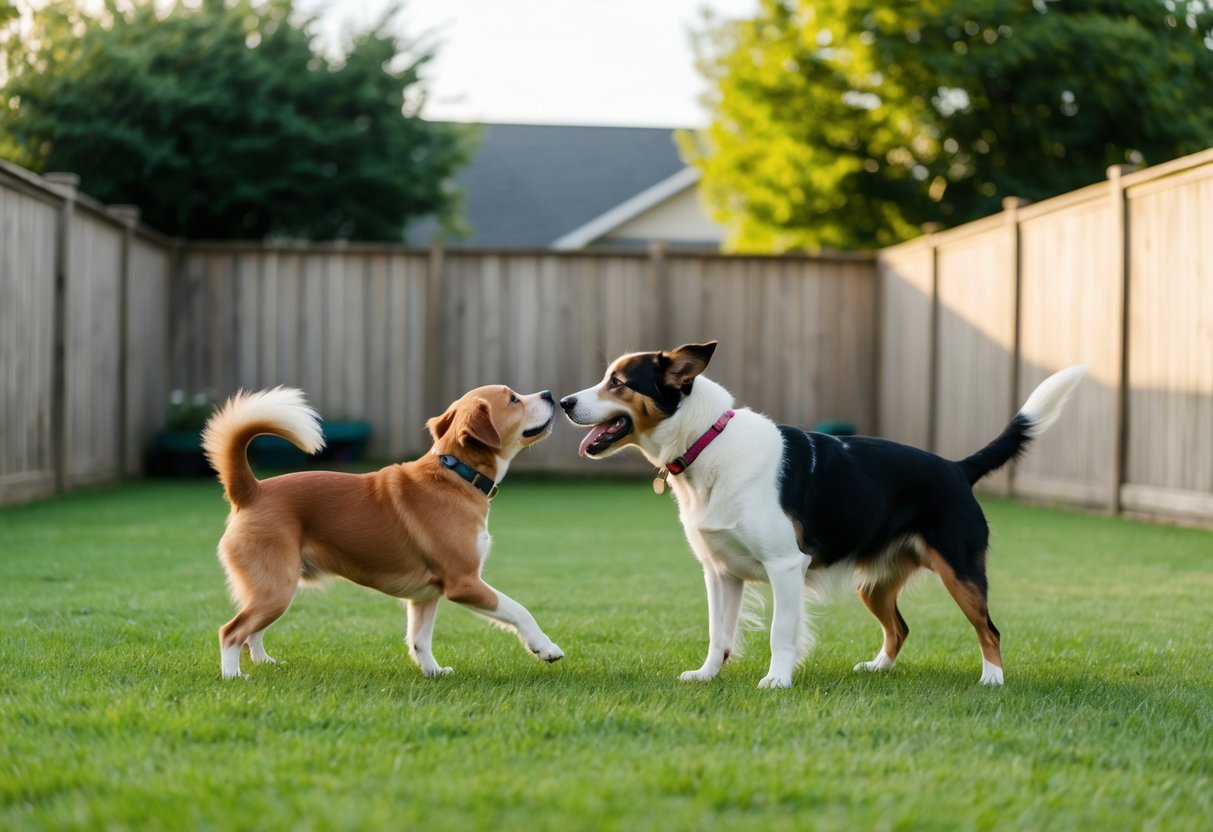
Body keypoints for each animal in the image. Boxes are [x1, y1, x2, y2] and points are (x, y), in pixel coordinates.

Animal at [201, 388, 560, 679]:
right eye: (513, 399)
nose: (548, 393)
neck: (457, 474)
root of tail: (252, 491)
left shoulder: (426, 595)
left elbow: (419, 640)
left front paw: (433, 672)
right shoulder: (464, 582)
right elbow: (519, 610)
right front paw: (544, 647)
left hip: (274, 589)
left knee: (252, 633)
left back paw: (264, 662)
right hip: (276, 589)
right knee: (231, 632)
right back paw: (233, 676)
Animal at [562, 344, 1086, 688]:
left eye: (618, 383)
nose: (564, 401)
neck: (707, 442)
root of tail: (957, 467)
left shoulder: (784, 567)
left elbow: (780, 633)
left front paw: (777, 681)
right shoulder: (720, 573)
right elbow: (718, 633)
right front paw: (707, 675)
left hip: (961, 572)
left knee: (989, 630)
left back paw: (992, 680)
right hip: (873, 585)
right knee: (899, 628)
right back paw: (878, 669)